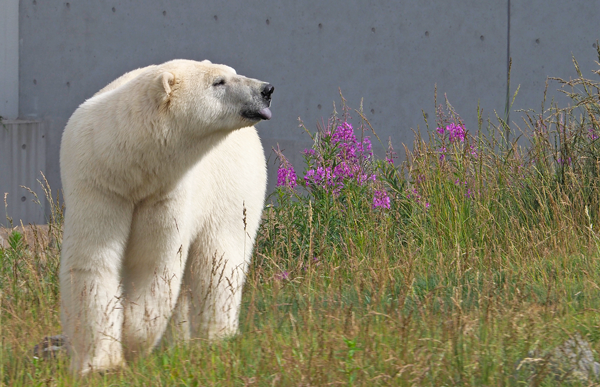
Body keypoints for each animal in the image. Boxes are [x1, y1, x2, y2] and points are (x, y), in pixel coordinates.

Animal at [59, 59, 274, 374]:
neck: (131, 169)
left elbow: (155, 264)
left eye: (231, 73)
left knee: (217, 262)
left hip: (233, 188)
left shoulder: (167, 191)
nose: (266, 89)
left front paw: (133, 338)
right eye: (219, 81)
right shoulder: (98, 184)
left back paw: (215, 338)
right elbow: (92, 262)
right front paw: (101, 363)